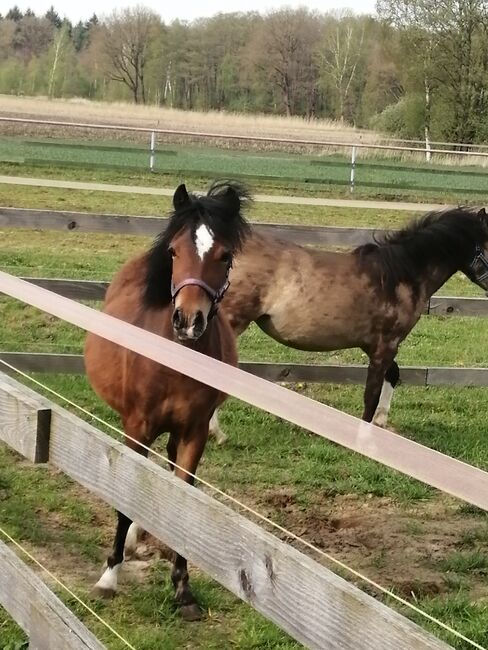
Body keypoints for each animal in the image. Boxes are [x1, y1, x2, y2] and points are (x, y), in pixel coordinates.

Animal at [84, 178, 250, 616]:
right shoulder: (137, 428)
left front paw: (183, 589)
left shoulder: (193, 433)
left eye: (225, 255)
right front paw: (109, 577)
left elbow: (183, 499)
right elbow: (126, 495)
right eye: (175, 251)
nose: (188, 321)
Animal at [209, 206, 488, 440]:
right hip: (233, 322)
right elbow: (371, 393)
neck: (400, 277)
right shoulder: (386, 344)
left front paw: (381, 422)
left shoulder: (375, 344)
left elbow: (393, 375)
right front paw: (363, 438)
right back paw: (216, 432)